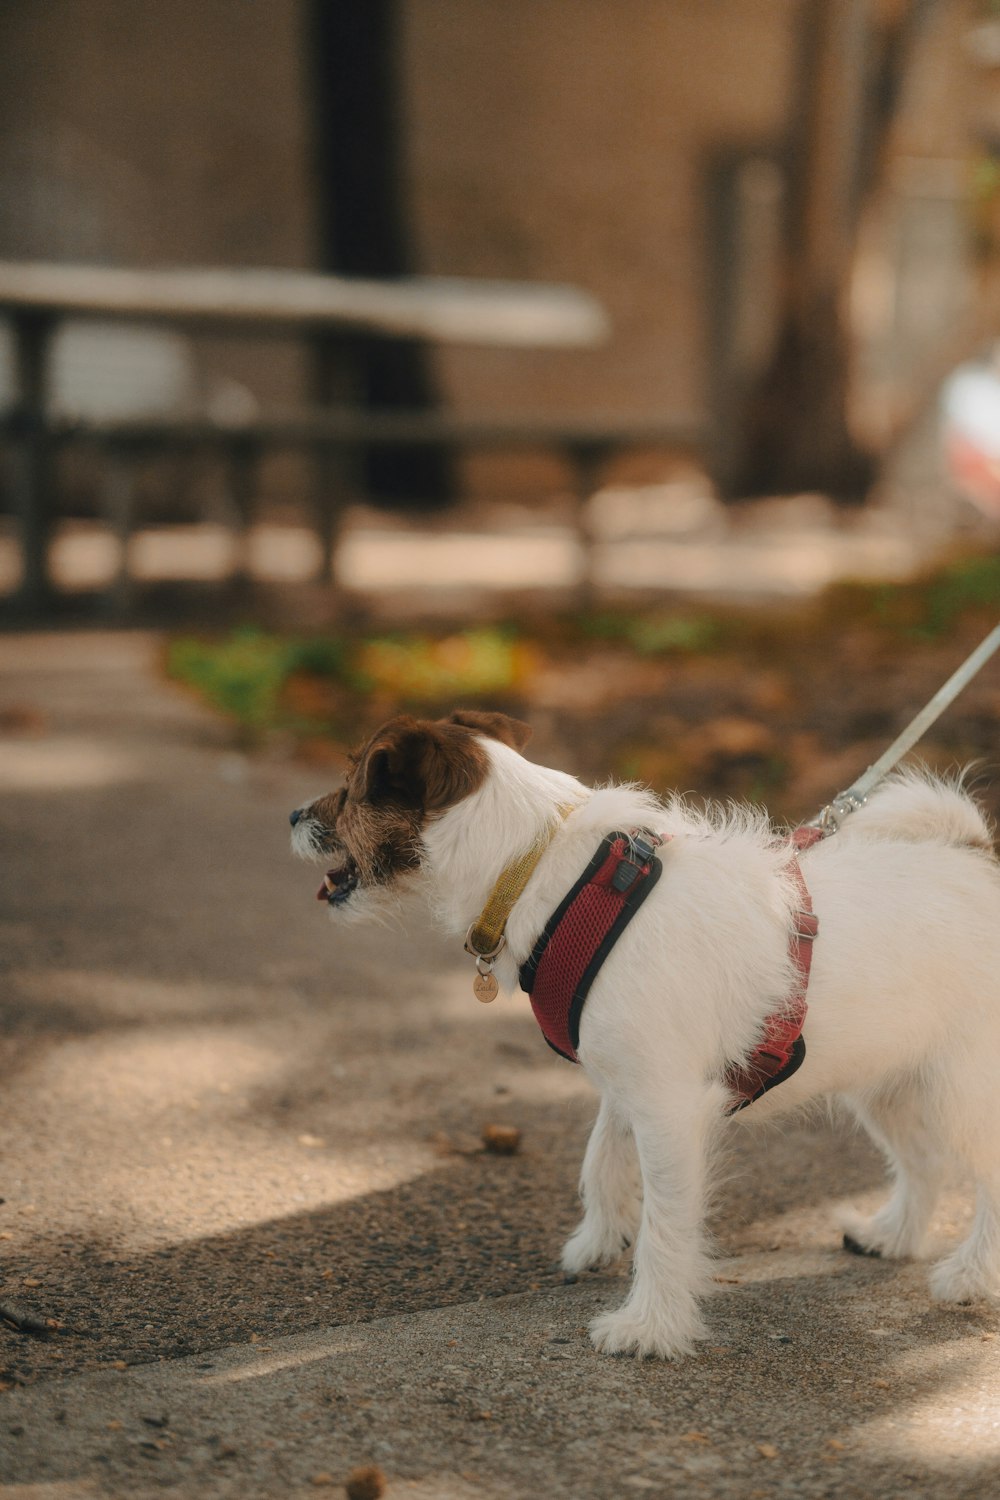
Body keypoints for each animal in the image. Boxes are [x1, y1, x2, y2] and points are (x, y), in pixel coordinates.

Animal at [289, 711, 1000, 1362]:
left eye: (353, 786)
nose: (293, 815)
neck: (541, 867)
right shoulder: (626, 1084)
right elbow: (601, 1160)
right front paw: (598, 1241)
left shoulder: (669, 1107)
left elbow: (667, 1222)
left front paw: (650, 1327)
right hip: (892, 1083)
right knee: (925, 1160)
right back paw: (892, 1236)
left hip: (961, 1091)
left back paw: (968, 1277)